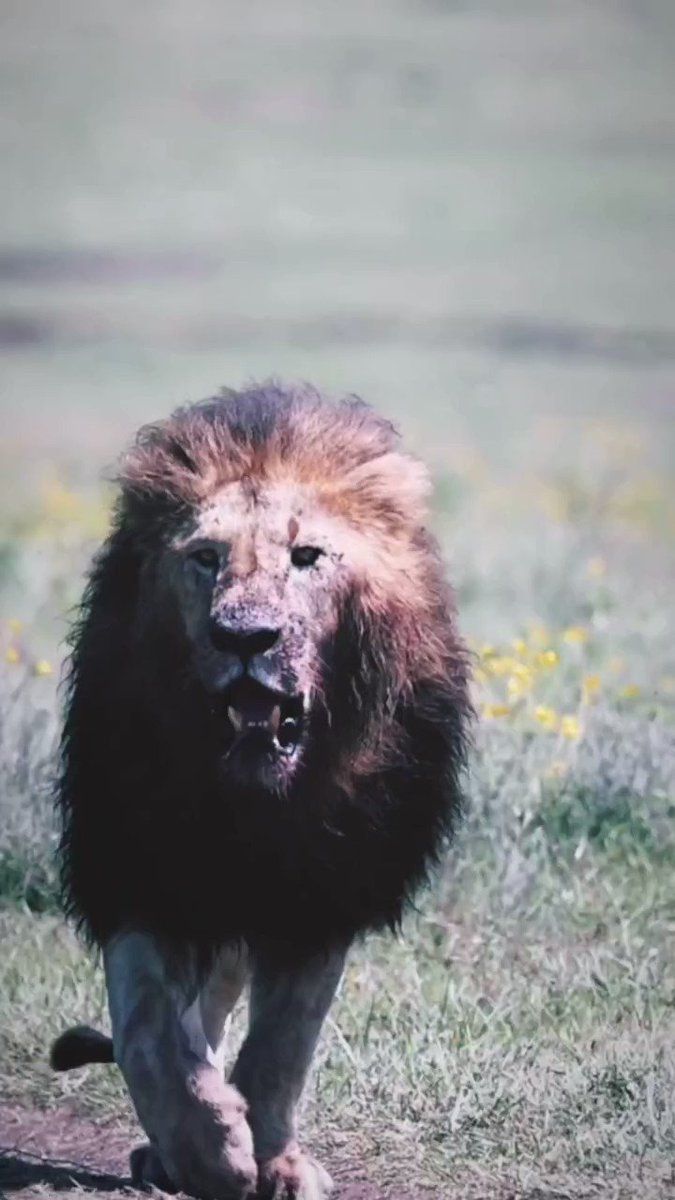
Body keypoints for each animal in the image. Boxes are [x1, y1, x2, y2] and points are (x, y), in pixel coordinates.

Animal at [50, 382, 472, 1200]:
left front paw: (273, 1161)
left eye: (306, 558)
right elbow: (150, 1030)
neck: (255, 805)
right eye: (205, 559)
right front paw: (211, 1151)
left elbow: (283, 1049)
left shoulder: (322, 893)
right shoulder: (136, 865)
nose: (245, 637)